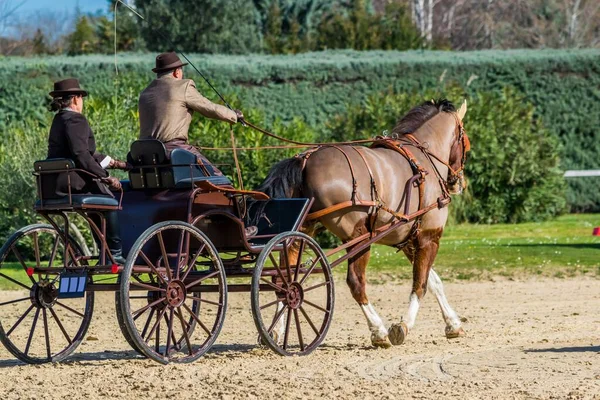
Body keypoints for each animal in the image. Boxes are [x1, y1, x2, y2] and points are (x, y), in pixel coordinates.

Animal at [255, 97, 472, 346]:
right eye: (466, 144)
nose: (459, 183)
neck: (423, 158)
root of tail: (304, 161)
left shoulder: (410, 239)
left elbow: (434, 281)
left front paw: (453, 324)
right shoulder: (429, 236)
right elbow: (421, 284)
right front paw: (403, 326)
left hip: (300, 232)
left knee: (284, 279)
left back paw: (275, 330)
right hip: (358, 238)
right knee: (356, 282)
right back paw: (378, 331)